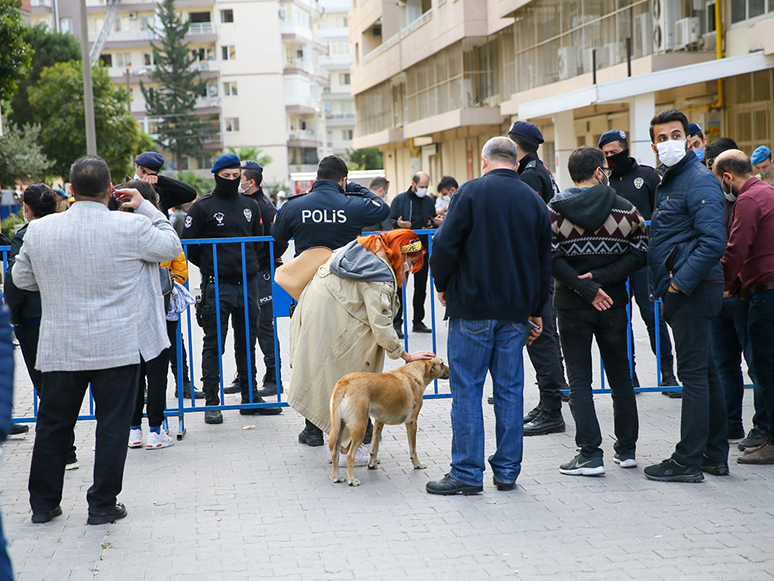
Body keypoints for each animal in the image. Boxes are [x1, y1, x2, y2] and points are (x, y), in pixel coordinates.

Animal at [328, 356, 448, 488]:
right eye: (442, 363)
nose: (451, 371)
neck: (414, 373)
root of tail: (345, 382)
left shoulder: (379, 422)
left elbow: (374, 447)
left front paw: (372, 464)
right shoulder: (411, 422)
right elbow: (413, 448)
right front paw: (417, 464)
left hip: (339, 427)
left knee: (335, 452)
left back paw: (337, 477)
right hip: (360, 428)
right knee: (350, 455)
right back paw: (352, 480)